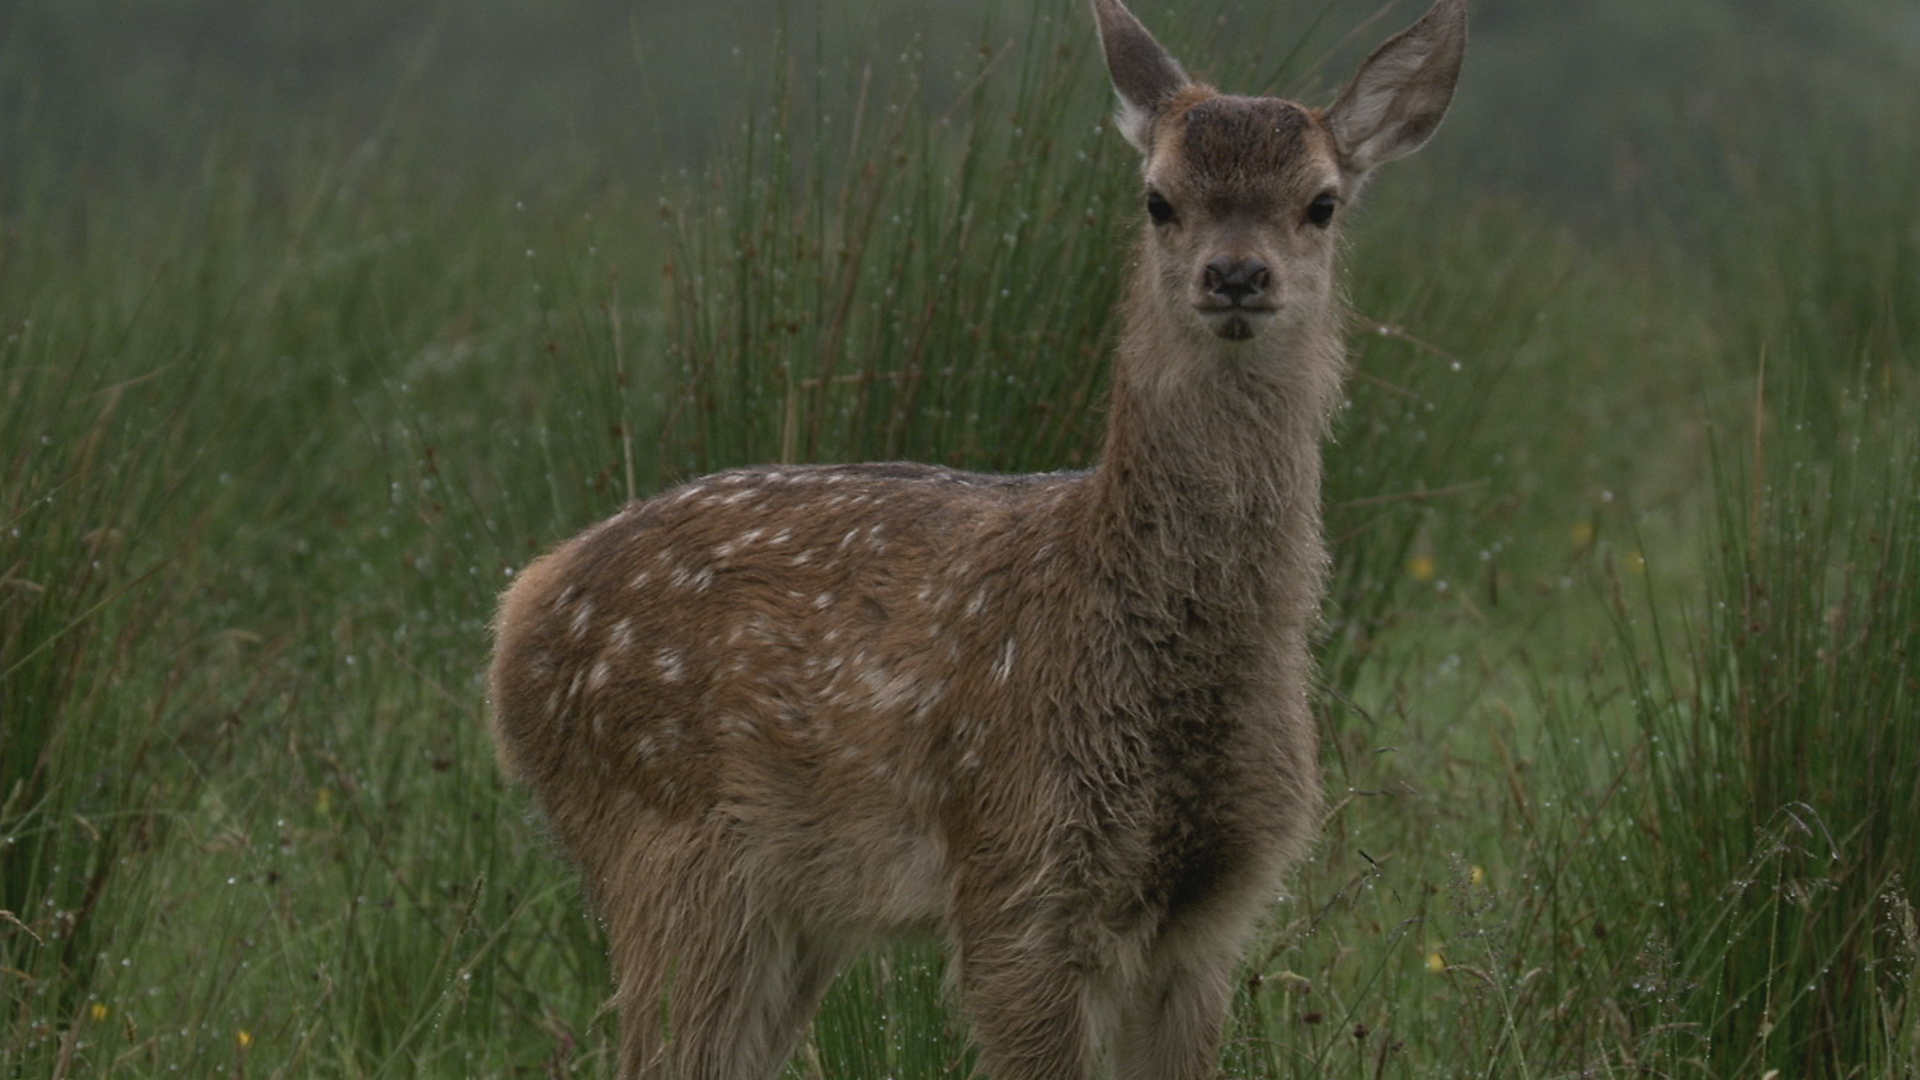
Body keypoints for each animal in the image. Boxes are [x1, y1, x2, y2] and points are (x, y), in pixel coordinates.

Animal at [487, 0, 1459, 1068]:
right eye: (1158, 199)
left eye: (1321, 203)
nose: (1236, 273)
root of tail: (520, 606)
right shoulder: (1014, 871)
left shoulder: (1218, 905)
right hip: (665, 839)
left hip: (789, 904)